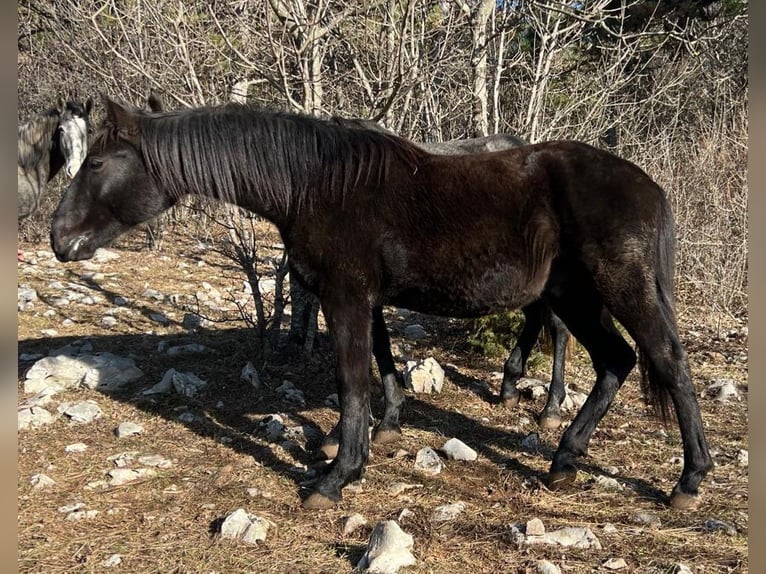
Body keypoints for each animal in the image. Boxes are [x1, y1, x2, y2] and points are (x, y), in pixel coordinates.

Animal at [50, 96, 712, 512]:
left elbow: (350, 381)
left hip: (621, 290)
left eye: (99, 162)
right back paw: (565, 459)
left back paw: (688, 479)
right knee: (615, 361)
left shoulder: (345, 296)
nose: (58, 238)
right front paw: (374, 434)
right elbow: (381, 361)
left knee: (668, 363)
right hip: (573, 296)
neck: (315, 184)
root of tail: (648, 186)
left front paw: (336, 476)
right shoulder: (363, 297)